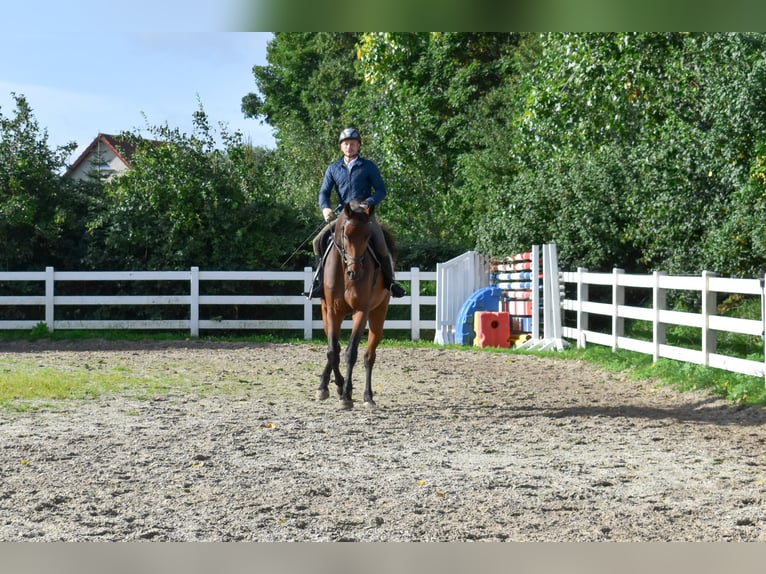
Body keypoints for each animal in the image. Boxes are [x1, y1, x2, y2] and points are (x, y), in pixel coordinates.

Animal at [316, 198, 395, 409]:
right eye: (346, 234)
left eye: (368, 236)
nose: (355, 272)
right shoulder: (332, 311)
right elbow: (333, 351)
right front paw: (335, 386)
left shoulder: (361, 311)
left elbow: (351, 353)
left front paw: (345, 396)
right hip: (327, 313)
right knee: (334, 348)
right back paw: (328, 385)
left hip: (378, 314)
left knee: (369, 356)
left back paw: (368, 396)